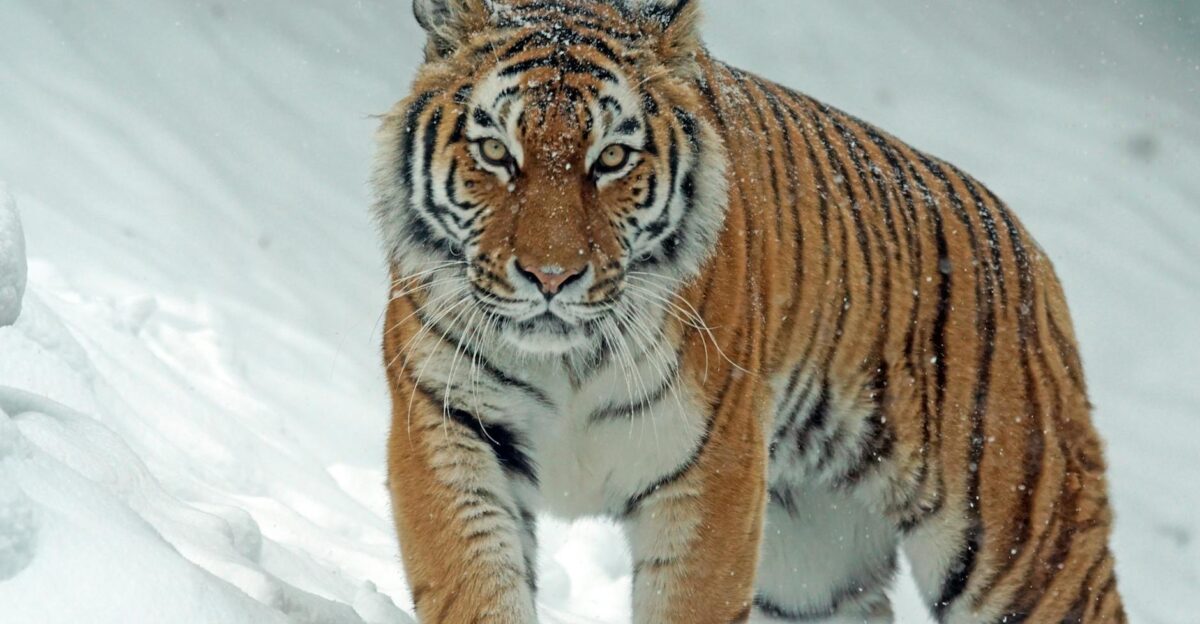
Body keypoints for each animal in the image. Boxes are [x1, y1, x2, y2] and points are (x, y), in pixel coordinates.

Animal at [371, 1, 1125, 622]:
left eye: (611, 158)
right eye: (495, 151)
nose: (551, 276)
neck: (569, 361)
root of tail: (1028, 249)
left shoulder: (713, 474)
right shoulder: (448, 427)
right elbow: (476, 588)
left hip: (1024, 545)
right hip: (812, 567)